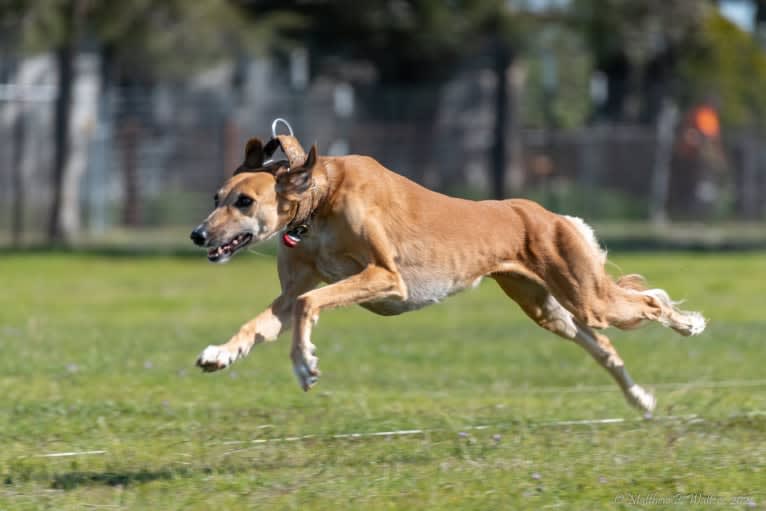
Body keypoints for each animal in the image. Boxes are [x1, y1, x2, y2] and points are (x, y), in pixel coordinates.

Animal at [192, 134, 708, 414]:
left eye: (245, 201)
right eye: (216, 197)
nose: (198, 234)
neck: (319, 198)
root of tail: (547, 214)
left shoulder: (385, 277)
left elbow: (307, 304)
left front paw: (305, 365)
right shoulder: (294, 289)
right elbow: (265, 320)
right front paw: (220, 353)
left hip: (587, 297)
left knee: (650, 301)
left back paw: (690, 325)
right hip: (550, 309)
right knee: (604, 346)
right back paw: (640, 399)